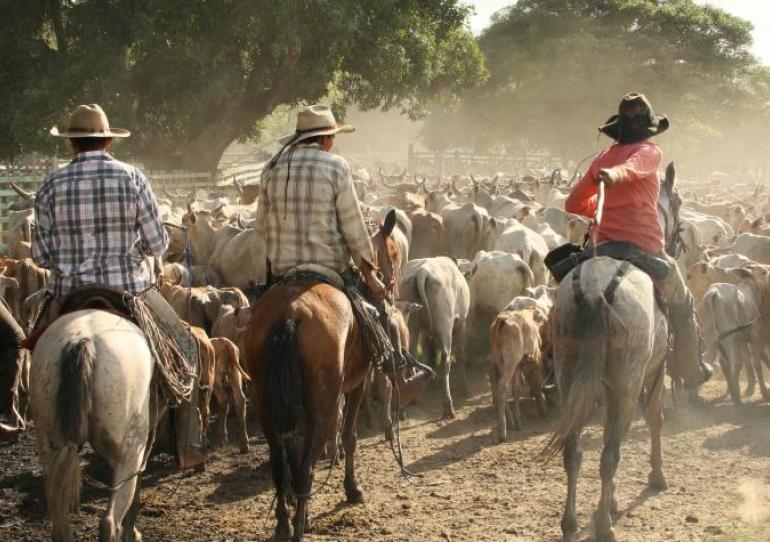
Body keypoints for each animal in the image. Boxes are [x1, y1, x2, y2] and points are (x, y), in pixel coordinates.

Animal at [31, 310, 158, 542]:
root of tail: (83, 339)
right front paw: (132, 532)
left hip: (49, 442)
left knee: (59, 521)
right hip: (129, 450)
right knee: (110, 521)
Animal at [244, 210, 428, 540]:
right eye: (393, 251)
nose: (389, 287)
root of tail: (289, 316)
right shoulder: (358, 383)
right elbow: (349, 436)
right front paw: (353, 490)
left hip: (267, 402)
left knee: (280, 461)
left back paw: (284, 523)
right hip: (324, 406)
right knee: (305, 467)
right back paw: (299, 528)